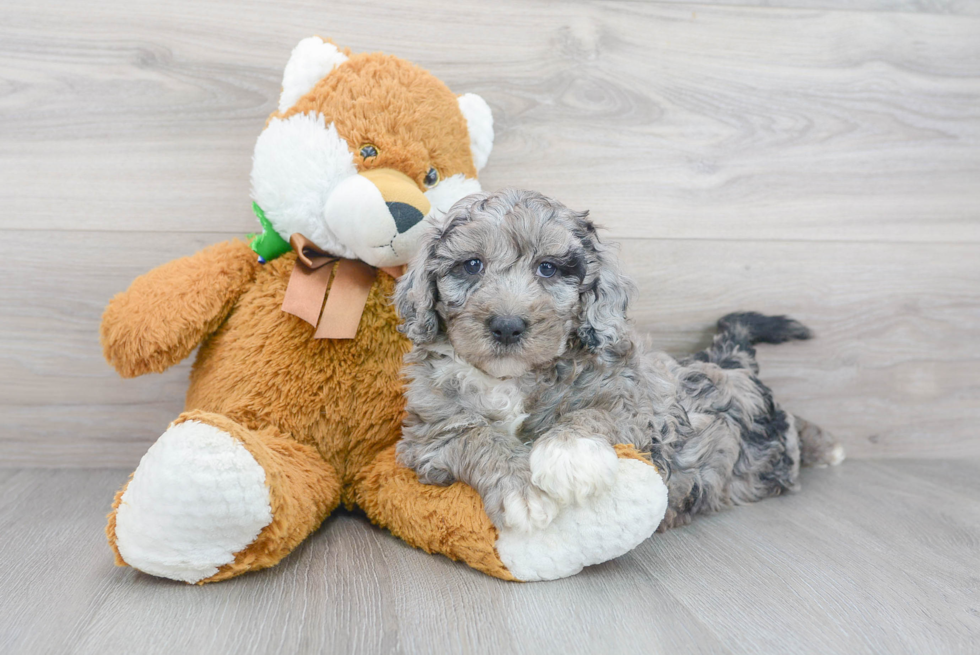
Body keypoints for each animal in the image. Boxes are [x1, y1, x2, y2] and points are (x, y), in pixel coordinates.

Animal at [394, 188, 840, 532]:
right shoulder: (430, 434)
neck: (514, 379)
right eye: (472, 265)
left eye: (548, 268)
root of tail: (729, 361)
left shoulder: (639, 403)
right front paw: (525, 491)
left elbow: (596, 412)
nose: (507, 326)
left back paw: (828, 447)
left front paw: (569, 456)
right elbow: (477, 436)